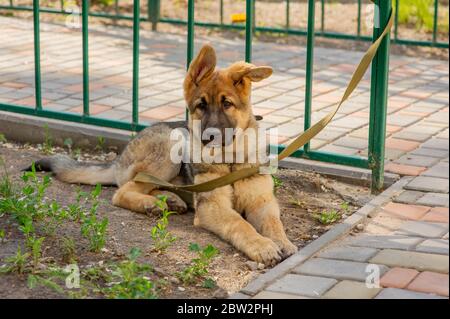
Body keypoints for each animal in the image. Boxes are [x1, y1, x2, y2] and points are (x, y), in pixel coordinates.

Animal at [30, 44, 298, 264]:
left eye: (227, 104)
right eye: (201, 106)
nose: (208, 138)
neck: (230, 161)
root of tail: (120, 158)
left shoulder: (262, 202)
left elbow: (274, 223)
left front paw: (282, 243)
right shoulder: (212, 207)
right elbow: (240, 224)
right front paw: (263, 246)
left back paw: (168, 199)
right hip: (171, 145)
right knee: (122, 191)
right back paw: (151, 203)